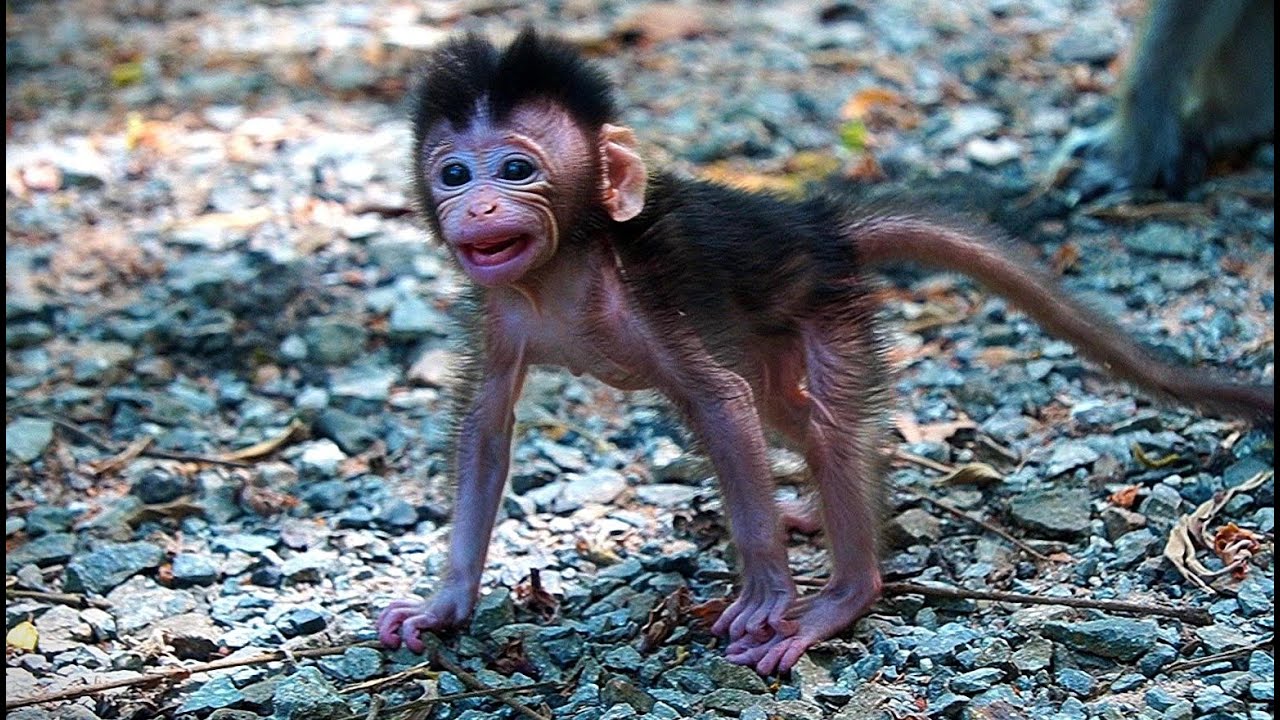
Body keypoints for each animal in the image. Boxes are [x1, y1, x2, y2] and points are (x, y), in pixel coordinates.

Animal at [376, 30, 1274, 675]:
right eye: (453, 174)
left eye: (515, 168)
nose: (479, 206)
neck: (564, 267)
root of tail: (817, 229)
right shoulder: (498, 314)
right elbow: (485, 429)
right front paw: (445, 603)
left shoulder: (649, 293)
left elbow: (720, 405)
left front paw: (767, 589)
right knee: (792, 415)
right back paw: (824, 508)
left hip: (828, 309)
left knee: (828, 428)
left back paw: (844, 591)